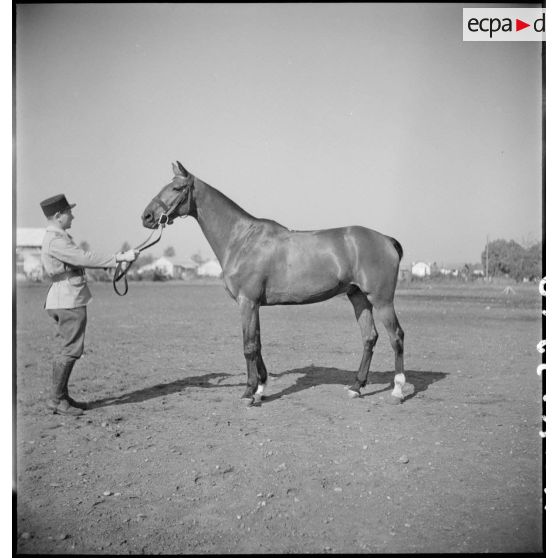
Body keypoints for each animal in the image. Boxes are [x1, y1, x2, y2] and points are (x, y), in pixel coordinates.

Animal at [142, 162, 410, 406]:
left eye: (177, 188)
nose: (147, 216)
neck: (241, 239)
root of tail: (386, 240)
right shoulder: (254, 304)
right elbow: (258, 343)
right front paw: (260, 388)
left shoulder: (247, 302)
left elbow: (249, 346)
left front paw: (248, 393)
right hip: (358, 297)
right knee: (369, 337)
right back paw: (356, 387)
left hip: (381, 300)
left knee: (396, 336)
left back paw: (397, 391)